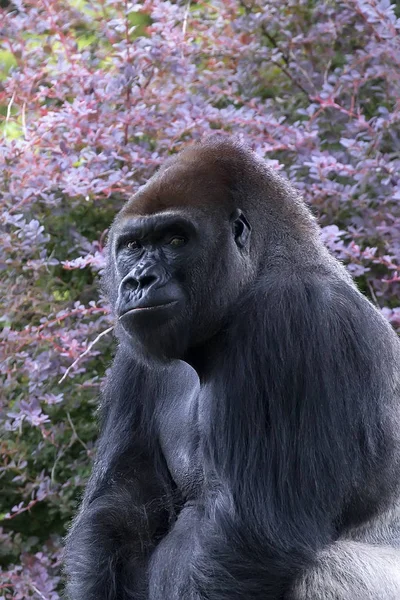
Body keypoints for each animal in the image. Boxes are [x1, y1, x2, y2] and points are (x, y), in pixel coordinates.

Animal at [64, 137, 400, 600]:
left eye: (176, 238)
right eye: (133, 245)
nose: (138, 281)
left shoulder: (291, 317)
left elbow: (251, 534)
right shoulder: (134, 354)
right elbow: (120, 507)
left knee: (327, 566)